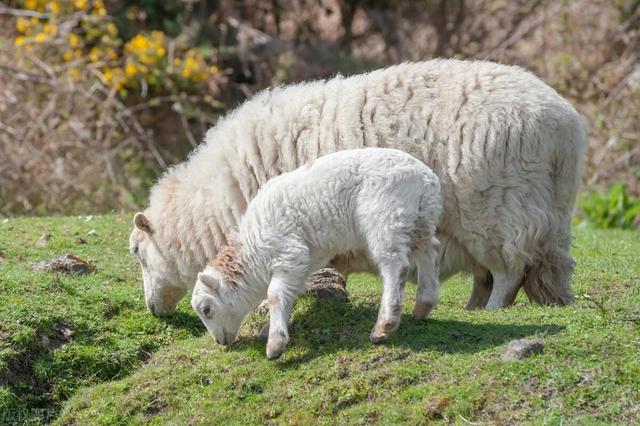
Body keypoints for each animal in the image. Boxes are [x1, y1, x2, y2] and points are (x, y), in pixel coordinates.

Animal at [129, 59, 584, 316]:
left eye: (136, 252)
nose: (153, 310)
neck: (218, 198)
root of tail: (566, 128)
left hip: (499, 210)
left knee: (509, 271)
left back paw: (490, 311)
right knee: (491, 273)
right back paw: (473, 307)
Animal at [190, 148, 440, 358]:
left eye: (206, 309)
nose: (220, 342)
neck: (253, 253)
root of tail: (426, 178)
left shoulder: (287, 251)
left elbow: (274, 295)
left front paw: (275, 344)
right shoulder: (302, 261)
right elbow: (289, 293)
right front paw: (271, 328)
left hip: (385, 216)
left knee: (395, 266)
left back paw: (384, 326)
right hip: (421, 219)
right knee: (429, 252)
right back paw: (423, 305)